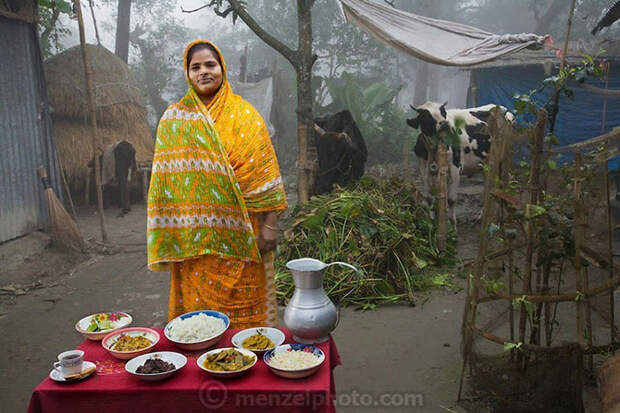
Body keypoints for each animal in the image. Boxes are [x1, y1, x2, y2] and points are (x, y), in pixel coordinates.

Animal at [406, 100, 512, 229]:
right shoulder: (423, 168)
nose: (444, 124)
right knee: (488, 187)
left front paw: (453, 226)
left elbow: (451, 200)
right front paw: (431, 223)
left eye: (443, 112)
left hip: (505, 158)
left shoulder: (455, 168)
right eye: (425, 116)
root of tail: (502, 108)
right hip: (486, 164)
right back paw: (482, 217)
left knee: (504, 183)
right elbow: (430, 198)